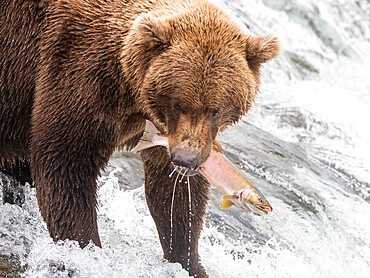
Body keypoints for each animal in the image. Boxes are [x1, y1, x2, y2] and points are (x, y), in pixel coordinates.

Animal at [0, 0, 278, 274]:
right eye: (179, 104)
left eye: (215, 110)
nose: (185, 160)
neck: (129, 89)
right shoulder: (77, 76)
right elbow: (66, 165)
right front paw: (85, 251)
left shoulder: (162, 130)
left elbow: (172, 195)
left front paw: (187, 259)